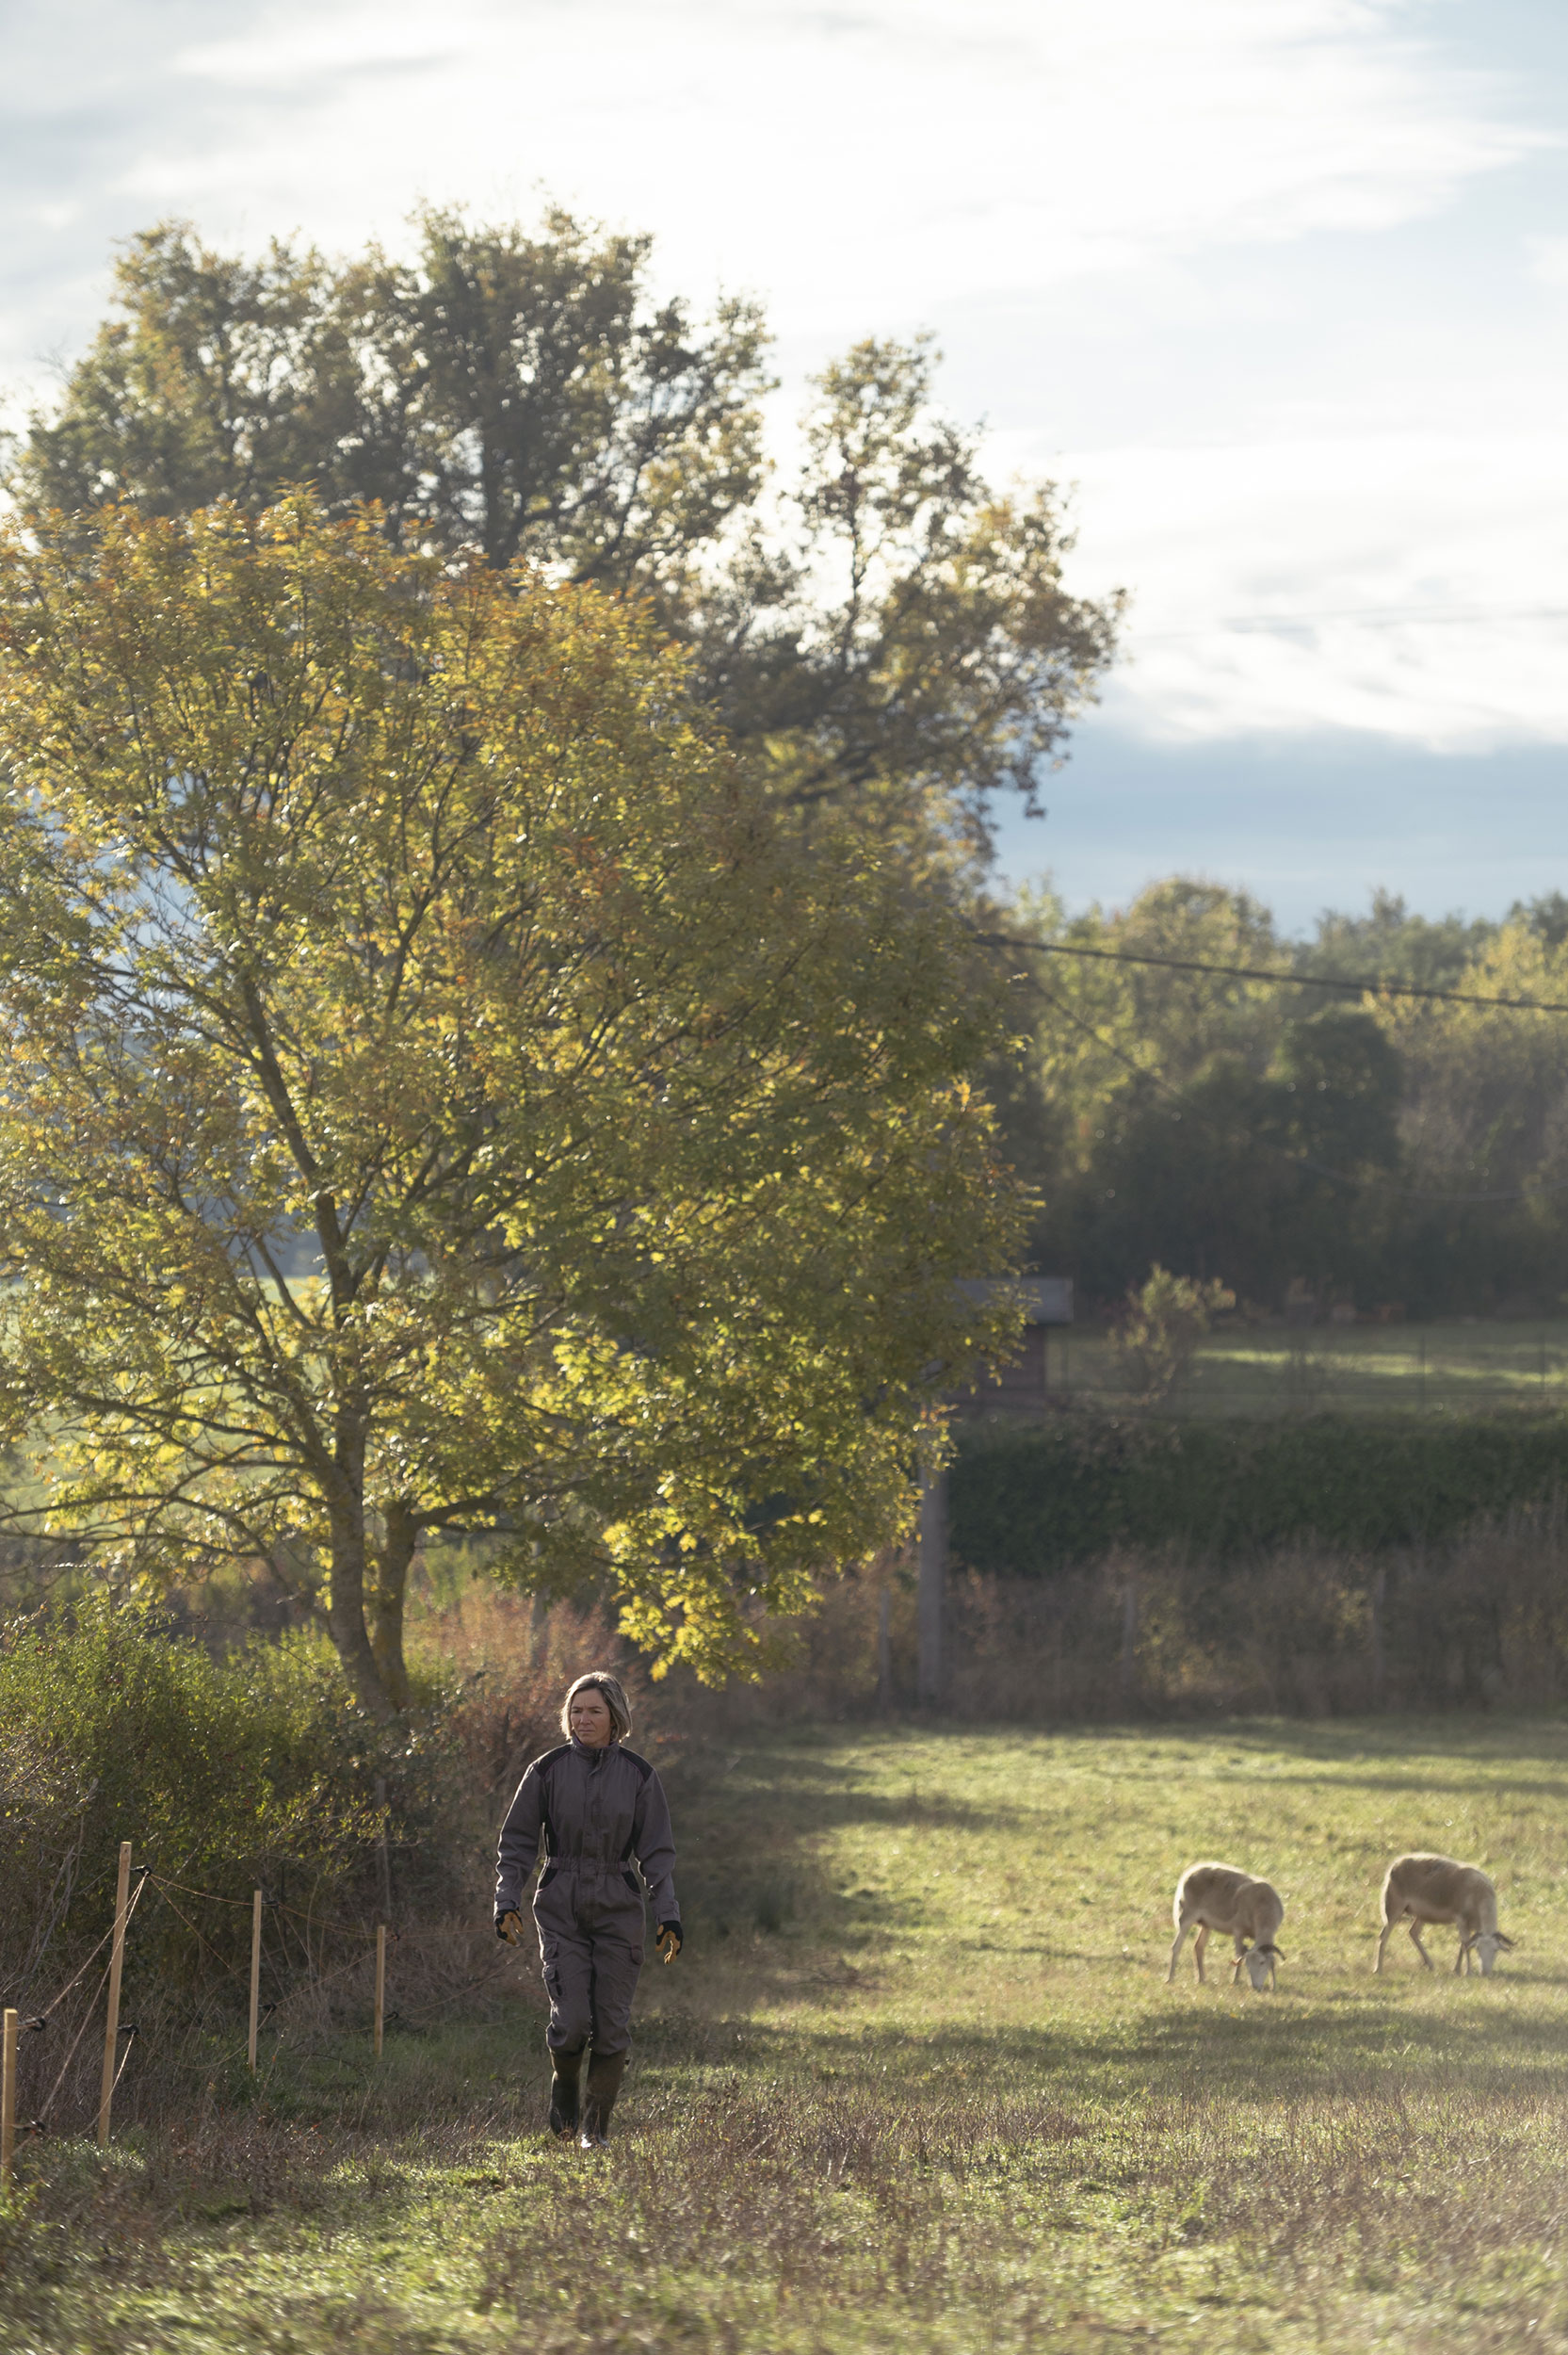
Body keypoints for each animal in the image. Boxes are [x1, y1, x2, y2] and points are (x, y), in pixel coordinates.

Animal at [1158, 1856, 1281, 1988]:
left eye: (1262, 1962)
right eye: (1247, 1964)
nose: (1255, 1987)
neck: (1263, 1909)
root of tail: (1191, 1870)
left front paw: (1274, 1986)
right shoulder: (1238, 1930)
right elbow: (1238, 1955)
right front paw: (1235, 1981)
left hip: (1206, 1923)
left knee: (1198, 1947)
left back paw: (1201, 1979)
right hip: (1187, 1915)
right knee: (1176, 1947)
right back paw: (1170, 1978)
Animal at [1375, 1846, 1507, 1978]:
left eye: (1495, 1950)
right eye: (1478, 1949)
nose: (1485, 1973)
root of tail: (1395, 1864)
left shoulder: (1469, 1925)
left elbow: (1462, 1945)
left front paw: (1457, 1969)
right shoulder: (1461, 1919)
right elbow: (1466, 1945)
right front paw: (1468, 1972)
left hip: (1421, 1913)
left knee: (1413, 1932)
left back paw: (1430, 1964)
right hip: (1393, 1907)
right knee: (1384, 1936)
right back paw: (1378, 1970)